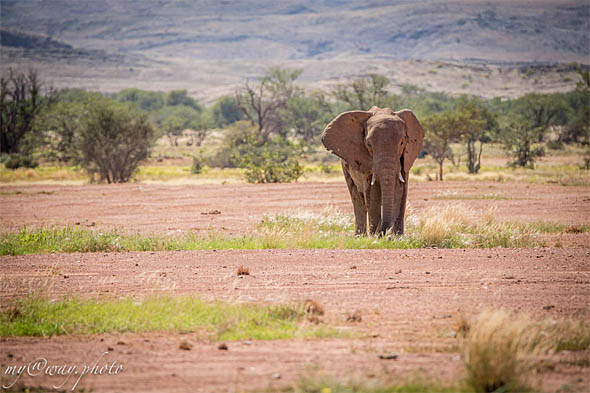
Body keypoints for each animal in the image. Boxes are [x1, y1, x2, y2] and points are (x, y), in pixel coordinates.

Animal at [324, 105, 426, 236]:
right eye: (368, 144)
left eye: (402, 142)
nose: (381, 233)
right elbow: (372, 193)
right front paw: (375, 236)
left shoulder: (405, 158)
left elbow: (401, 190)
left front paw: (397, 237)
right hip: (345, 165)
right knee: (357, 198)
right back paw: (360, 236)